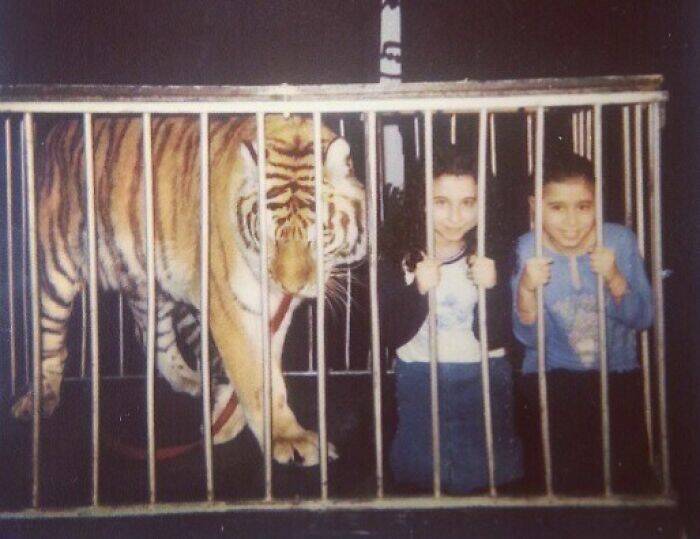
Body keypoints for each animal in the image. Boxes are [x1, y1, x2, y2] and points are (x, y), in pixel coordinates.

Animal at [11, 114, 367, 465]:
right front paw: (287, 438)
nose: (289, 285)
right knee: (50, 342)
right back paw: (40, 400)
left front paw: (223, 421)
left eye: (318, 235)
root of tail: (58, 130)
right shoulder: (231, 308)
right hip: (55, 271)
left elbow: (262, 369)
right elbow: (255, 377)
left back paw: (189, 379)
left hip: (148, 286)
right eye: (268, 238)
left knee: (154, 337)